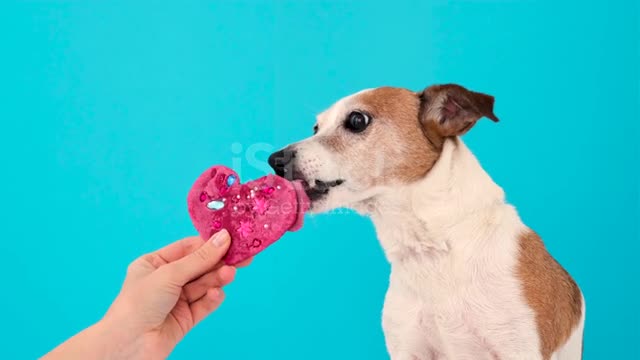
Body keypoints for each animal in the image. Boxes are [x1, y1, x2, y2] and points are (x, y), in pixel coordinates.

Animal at [268, 84, 584, 360]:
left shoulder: (518, 347)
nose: (275, 160)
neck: (433, 249)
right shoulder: (408, 348)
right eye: (316, 128)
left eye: (357, 120)